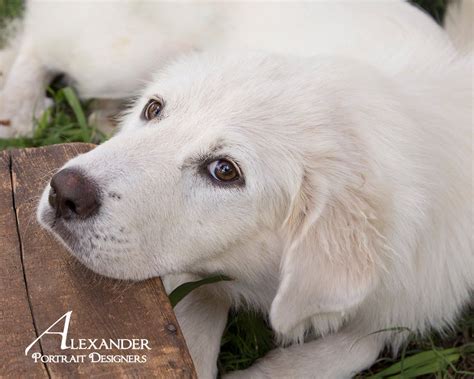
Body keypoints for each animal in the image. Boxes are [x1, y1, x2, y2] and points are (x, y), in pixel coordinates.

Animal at [35, 0, 472, 379]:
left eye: (224, 171)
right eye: (153, 109)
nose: (64, 191)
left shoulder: (406, 300)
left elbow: (362, 344)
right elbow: (195, 313)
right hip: (119, 56)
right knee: (38, 35)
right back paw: (24, 110)